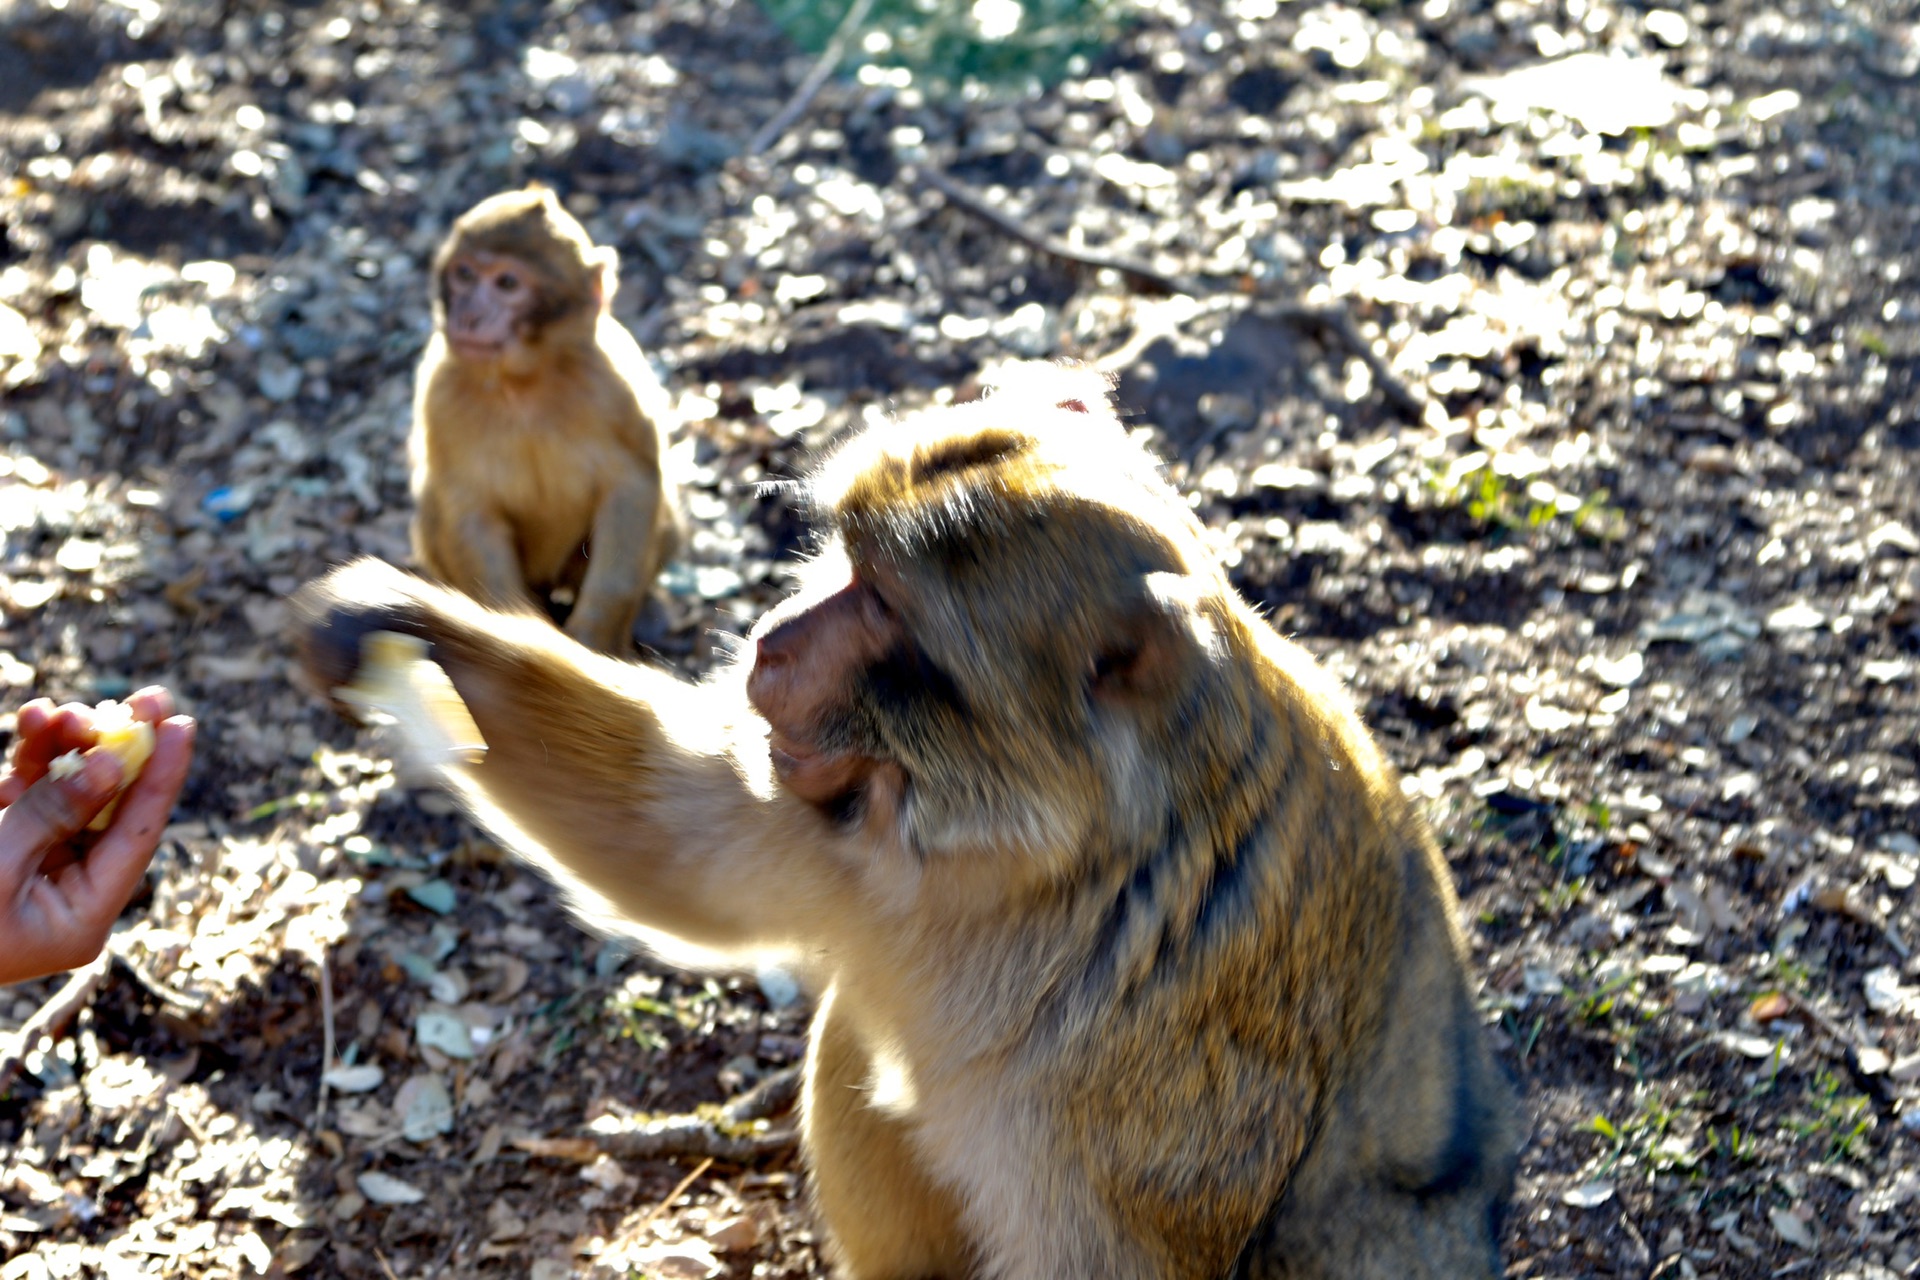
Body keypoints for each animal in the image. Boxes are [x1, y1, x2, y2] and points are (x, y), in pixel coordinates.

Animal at [295, 362, 1528, 1280]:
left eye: (883, 605)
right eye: (843, 561)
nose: (772, 641)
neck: (1038, 861)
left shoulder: (1158, 1072)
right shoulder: (846, 826)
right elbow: (671, 833)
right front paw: (398, 623)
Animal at [408, 182, 687, 652]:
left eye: (506, 283)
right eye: (464, 275)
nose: (468, 315)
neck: (525, 383)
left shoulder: (614, 383)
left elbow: (633, 484)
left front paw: (595, 640)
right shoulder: (439, 392)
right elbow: (468, 508)